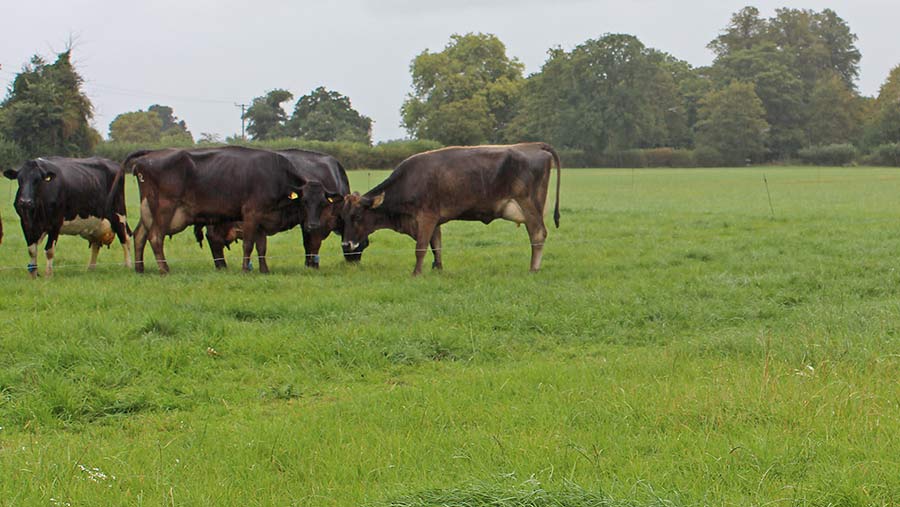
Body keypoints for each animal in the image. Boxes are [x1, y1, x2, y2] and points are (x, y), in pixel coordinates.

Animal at [2, 158, 132, 278]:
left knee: (125, 239)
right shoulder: (26, 223)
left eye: (37, 180)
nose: (25, 202)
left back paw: (128, 266)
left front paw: (48, 275)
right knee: (96, 245)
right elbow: (32, 250)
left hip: (119, 214)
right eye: (20, 179)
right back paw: (90, 269)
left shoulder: (55, 223)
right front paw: (33, 275)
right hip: (96, 223)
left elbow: (49, 250)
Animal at [125, 145, 316, 276]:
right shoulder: (252, 213)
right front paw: (245, 269)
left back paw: (140, 268)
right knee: (155, 236)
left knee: (139, 235)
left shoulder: (261, 219)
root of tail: (150, 154)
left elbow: (261, 247)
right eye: (304, 201)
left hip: (148, 209)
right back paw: (164, 269)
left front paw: (264, 270)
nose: (313, 225)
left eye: (321, 203)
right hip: (165, 208)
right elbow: (248, 244)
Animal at [192, 148, 366, 270]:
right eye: (365, 242)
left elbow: (307, 243)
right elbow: (313, 244)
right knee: (214, 238)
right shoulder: (319, 220)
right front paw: (313, 265)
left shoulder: (307, 221)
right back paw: (222, 266)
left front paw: (308, 264)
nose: (354, 262)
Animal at [340, 142, 560, 278]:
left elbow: (421, 247)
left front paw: (416, 273)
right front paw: (438, 269)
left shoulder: (426, 216)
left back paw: (533, 269)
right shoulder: (435, 220)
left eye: (357, 216)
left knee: (538, 234)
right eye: (343, 217)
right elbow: (436, 246)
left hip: (529, 205)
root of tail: (533, 145)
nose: (345, 244)